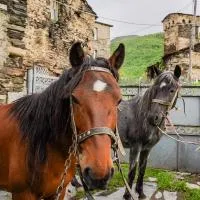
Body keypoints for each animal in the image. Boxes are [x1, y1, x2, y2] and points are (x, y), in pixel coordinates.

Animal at [118, 65, 182, 198]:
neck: (141, 116)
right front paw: (127, 195)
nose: (153, 117)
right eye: (155, 89)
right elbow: (132, 171)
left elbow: (142, 169)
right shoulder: (135, 147)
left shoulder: (146, 148)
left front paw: (141, 193)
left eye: (172, 90)